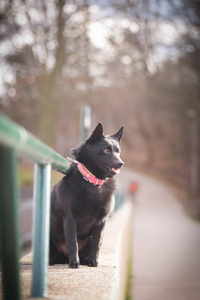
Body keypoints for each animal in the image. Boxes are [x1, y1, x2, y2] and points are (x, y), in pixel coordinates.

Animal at [49, 123, 123, 268]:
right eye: (106, 150)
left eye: (118, 151)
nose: (121, 163)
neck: (92, 182)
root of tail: (63, 257)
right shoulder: (70, 218)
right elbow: (73, 242)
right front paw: (74, 262)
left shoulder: (101, 222)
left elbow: (97, 243)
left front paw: (93, 261)